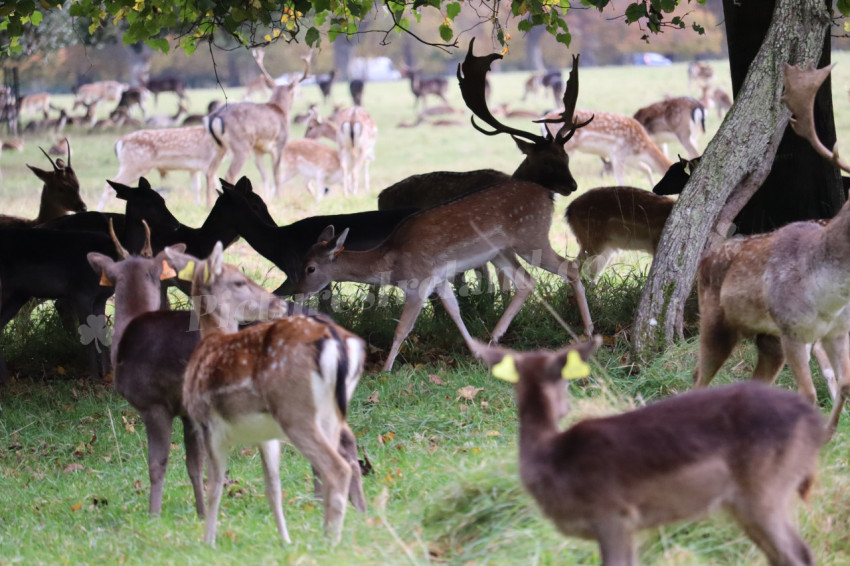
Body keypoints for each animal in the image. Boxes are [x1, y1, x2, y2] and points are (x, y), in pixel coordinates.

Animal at [96, 126, 227, 211]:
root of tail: (118, 142)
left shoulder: (194, 168)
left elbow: (197, 187)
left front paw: (198, 207)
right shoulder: (208, 163)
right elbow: (215, 185)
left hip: (128, 166)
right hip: (135, 166)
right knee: (109, 187)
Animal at [205, 49, 312, 200]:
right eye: (295, 90)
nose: (301, 95)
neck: (281, 109)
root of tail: (216, 116)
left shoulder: (257, 150)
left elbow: (265, 176)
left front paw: (267, 198)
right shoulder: (279, 144)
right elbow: (276, 175)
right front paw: (278, 198)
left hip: (219, 147)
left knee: (209, 172)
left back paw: (208, 203)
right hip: (241, 146)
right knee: (230, 174)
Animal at [476, 338, 828, 566]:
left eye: (565, 380)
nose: (566, 408)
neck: (551, 460)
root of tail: (815, 424)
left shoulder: (613, 515)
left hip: (765, 489)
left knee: (798, 554)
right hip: (747, 502)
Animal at [540, 107, 672, 186]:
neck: (641, 147)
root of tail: (543, 120)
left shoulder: (630, 159)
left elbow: (647, 169)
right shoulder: (618, 154)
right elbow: (621, 181)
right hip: (567, 147)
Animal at [688, 62, 848, 432]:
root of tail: (706, 256)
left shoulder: (837, 331)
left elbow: (845, 382)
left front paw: (831, 431)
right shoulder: (794, 331)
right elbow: (811, 392)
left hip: (768, 341)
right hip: (716, 323)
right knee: (699, 378)